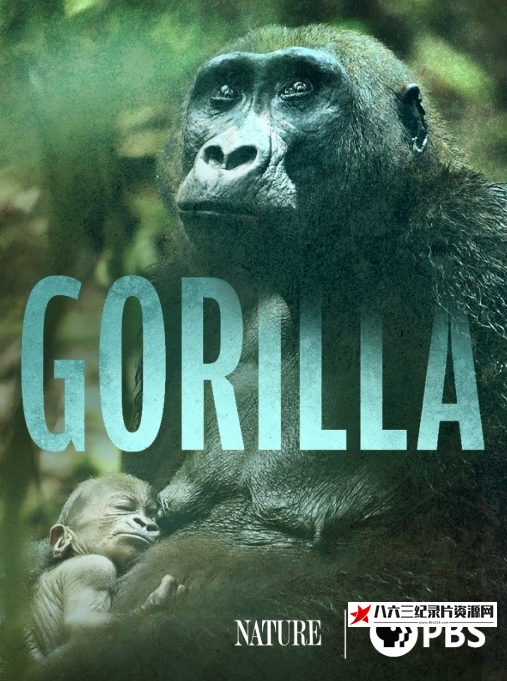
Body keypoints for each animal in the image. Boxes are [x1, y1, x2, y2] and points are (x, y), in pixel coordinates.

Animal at [27, 474, 185, 659]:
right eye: (123, 507)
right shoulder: (94, 568)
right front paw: (155, 605)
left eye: (152, 515)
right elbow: (82, 622)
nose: (146, 523)